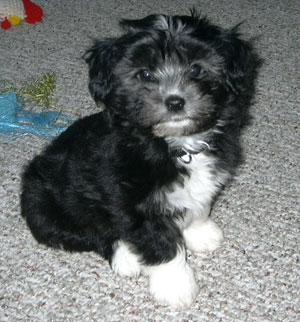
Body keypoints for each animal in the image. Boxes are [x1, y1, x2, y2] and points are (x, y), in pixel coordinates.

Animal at [21, 11, 254, 308]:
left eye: (196, 69)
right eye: (144, 74)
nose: (175, 101)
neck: (174, 144)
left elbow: (198, 205)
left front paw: (200, 233)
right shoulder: (135, 203)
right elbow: (161, 244)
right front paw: (176, 287)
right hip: (43, 204)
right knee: (89, 233)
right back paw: (125, 256)